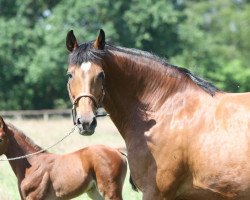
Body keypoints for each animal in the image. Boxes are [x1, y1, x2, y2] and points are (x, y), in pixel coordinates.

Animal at [0, 115, 129, 200]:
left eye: (1, 138)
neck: (33, 164)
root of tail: (118, 151)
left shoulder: (34, 197)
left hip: (110, 191)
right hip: (95, 192)